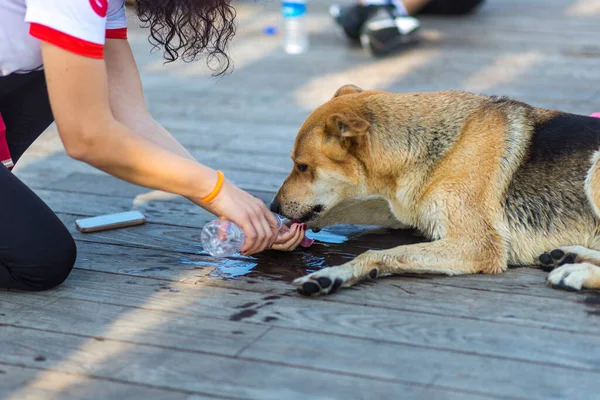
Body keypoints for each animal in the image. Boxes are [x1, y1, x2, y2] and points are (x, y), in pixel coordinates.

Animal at [270, 84, 600, 296]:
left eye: (302, 166)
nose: (273, 207)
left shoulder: (477, 245)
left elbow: (381, 252)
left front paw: (334, 274)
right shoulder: (407, 209)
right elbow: (358, 208)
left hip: (595, 171)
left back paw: (576, 272)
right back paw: (568, 256)